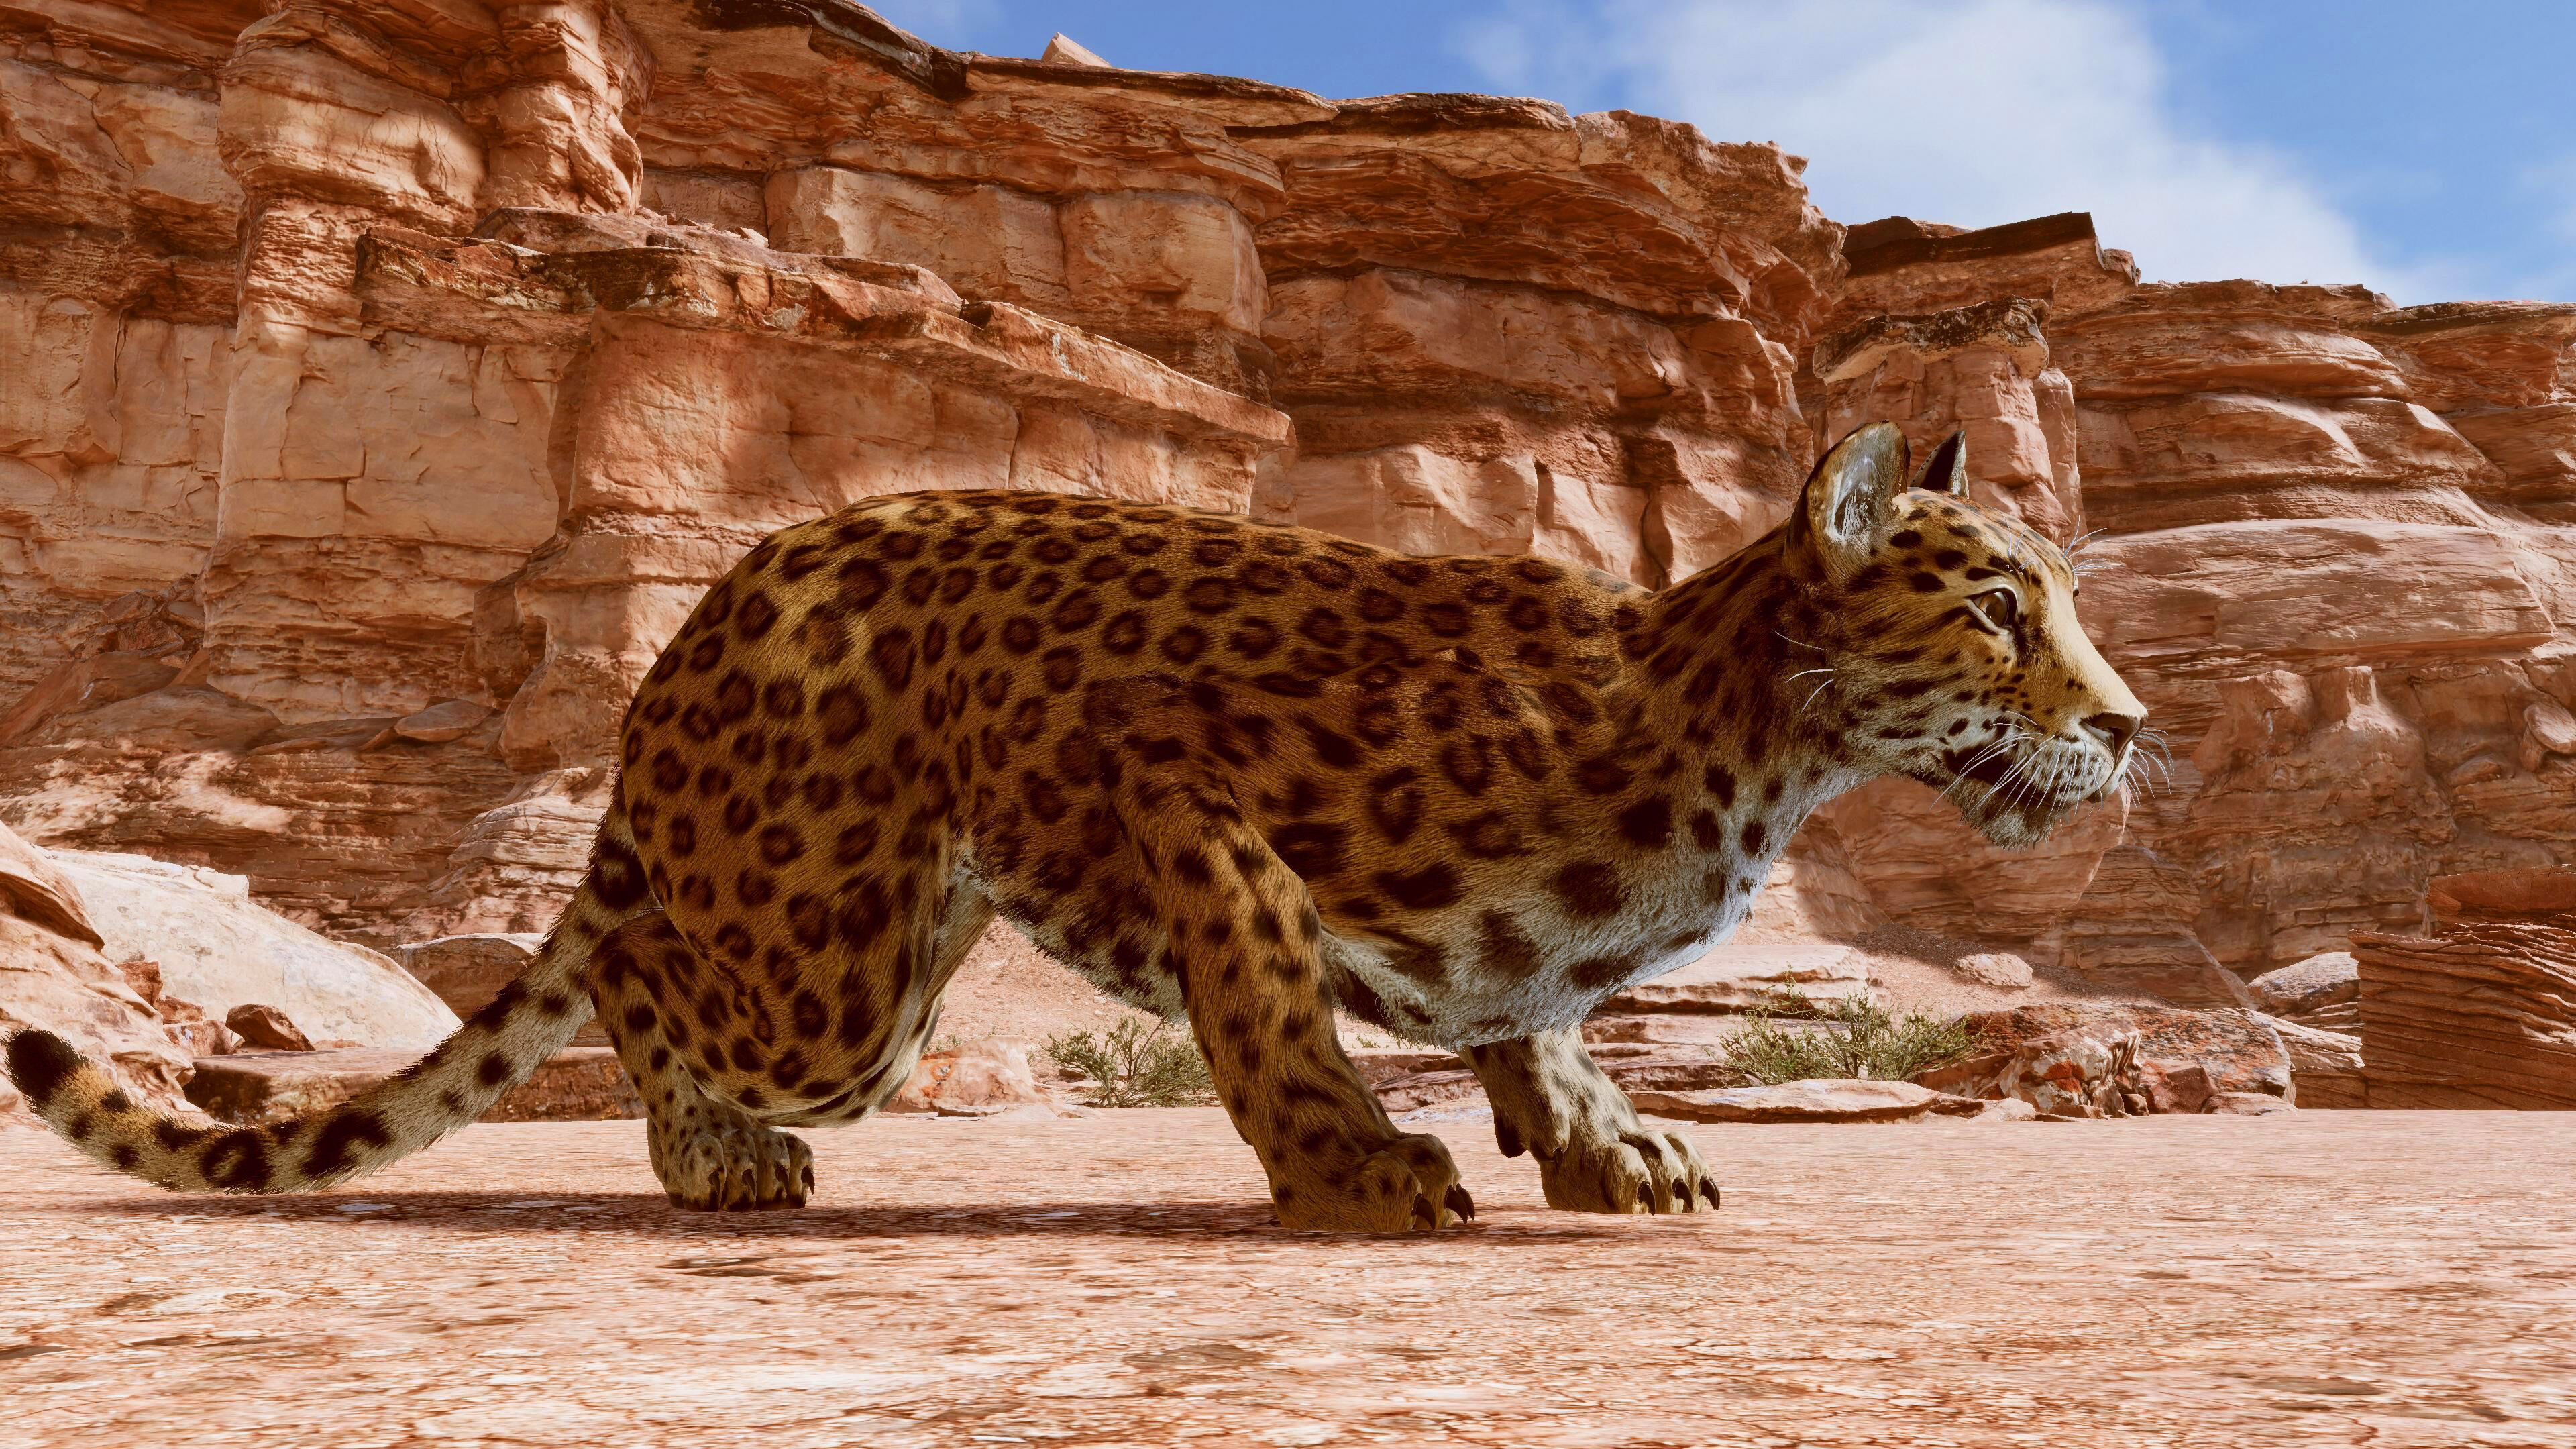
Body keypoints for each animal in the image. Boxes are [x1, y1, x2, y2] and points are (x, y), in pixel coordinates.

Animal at [7, 422, 2145, 1231]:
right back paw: (717, 1159)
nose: (2126, 728)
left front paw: (1611, 1148)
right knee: (643, 977)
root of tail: (695, 616)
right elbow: (1276, 1004)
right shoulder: (1183, 780)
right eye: (1996, 607)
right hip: (831, 969)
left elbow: (1532, 1014)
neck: (1754, 743)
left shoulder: (1509, 947)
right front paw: (1362, 1172)